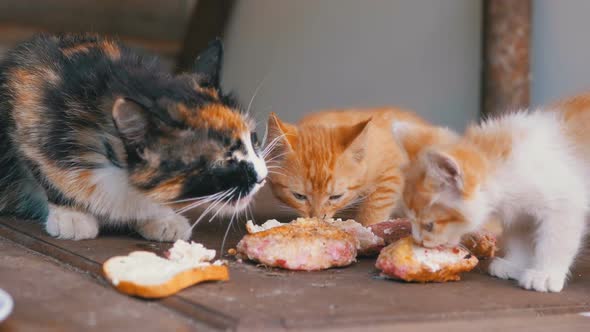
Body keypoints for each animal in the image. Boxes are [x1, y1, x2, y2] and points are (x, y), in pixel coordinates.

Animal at [0, 34, 268, 241]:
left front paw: (159, 216)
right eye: (224, 160)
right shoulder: (25, 106)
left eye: (254, 138)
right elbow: (42, 168)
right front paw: (72, 215)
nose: (261, 177)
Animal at [268, 107, 430, 224]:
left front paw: (367, 227)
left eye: (336, 196)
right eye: (299, 196)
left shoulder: (393, 172)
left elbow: (377, 204)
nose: (317, 217)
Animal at [394, 94, 590, 294]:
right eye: (410, 219)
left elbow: (555, 242)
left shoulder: (565, 203)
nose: (418, 241)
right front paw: (516, 264)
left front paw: (544, 274)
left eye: (430, 225)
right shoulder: (520, 213)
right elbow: (520, 236)